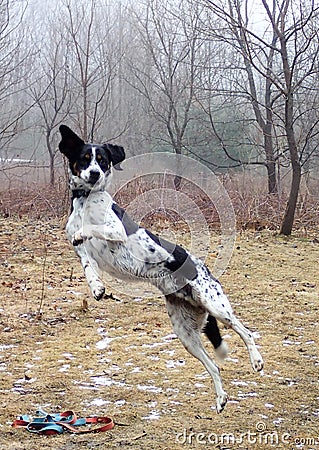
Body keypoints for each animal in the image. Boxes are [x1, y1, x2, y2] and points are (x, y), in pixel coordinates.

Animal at [58, 125, 264, 414]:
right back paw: (221, 398)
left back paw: (256, 360)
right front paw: (97, 287)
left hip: (217, 307)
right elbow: (88, 266)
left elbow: (91, 228)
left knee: (246, 332)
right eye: (85, 158)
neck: (86, 200)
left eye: (103, 160)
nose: (95, 174)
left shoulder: (116, 230)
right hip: (185, 333)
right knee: (213, 366)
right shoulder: (83, 253)